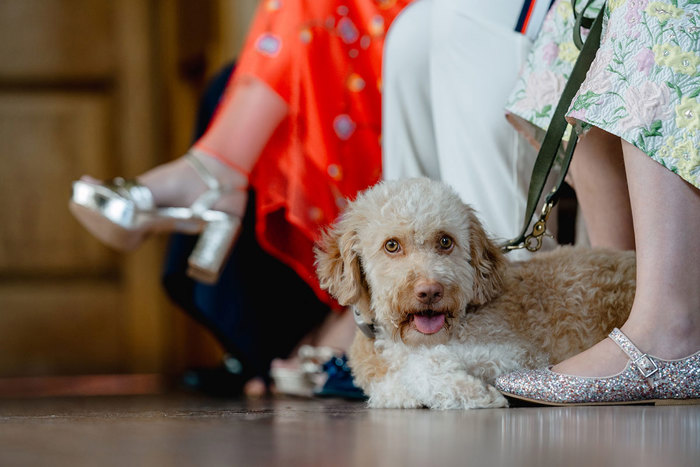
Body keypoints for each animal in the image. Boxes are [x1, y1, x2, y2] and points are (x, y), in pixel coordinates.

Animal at [314, 179, 636, 410]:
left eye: (445, 241)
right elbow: (396, 386)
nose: (430, 291)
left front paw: (476, 393)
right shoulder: (385, 385)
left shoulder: (519, 352)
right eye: (391, 245)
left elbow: (425, 363)